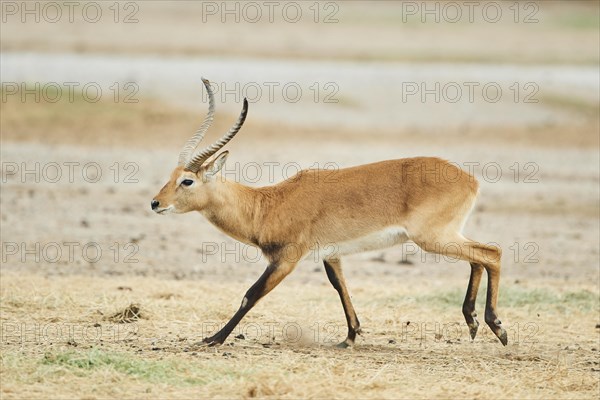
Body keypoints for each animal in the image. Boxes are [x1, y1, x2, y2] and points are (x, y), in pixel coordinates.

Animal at [151, 77, 506, 346]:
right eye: (171, 175)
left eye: (187, 180)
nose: (156, 203)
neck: (266, 205)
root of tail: (469, 178)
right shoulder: (330, 253)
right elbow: (340, 285)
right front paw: (350, 336)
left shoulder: (287, 258)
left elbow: (250, 294)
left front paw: (213, 338)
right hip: (445, 236)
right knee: (478, 258)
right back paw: (474, 323)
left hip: (432, 238)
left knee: (492, 253)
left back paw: (496, 327)